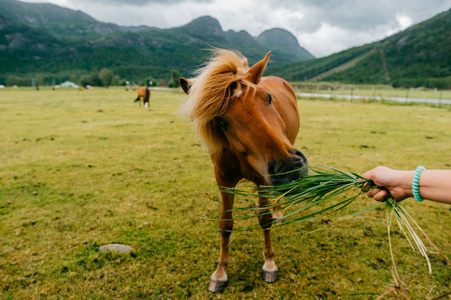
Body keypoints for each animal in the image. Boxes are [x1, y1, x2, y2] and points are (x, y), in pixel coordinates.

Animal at [179, 49, 308, 292]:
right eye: (221, 121)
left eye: (268, 98)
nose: (289, 167)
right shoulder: (224, 180)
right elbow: (226, 224)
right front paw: (220, 272)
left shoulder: (264, 179)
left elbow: (265, 220)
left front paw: (269, 263)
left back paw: (277, 212)